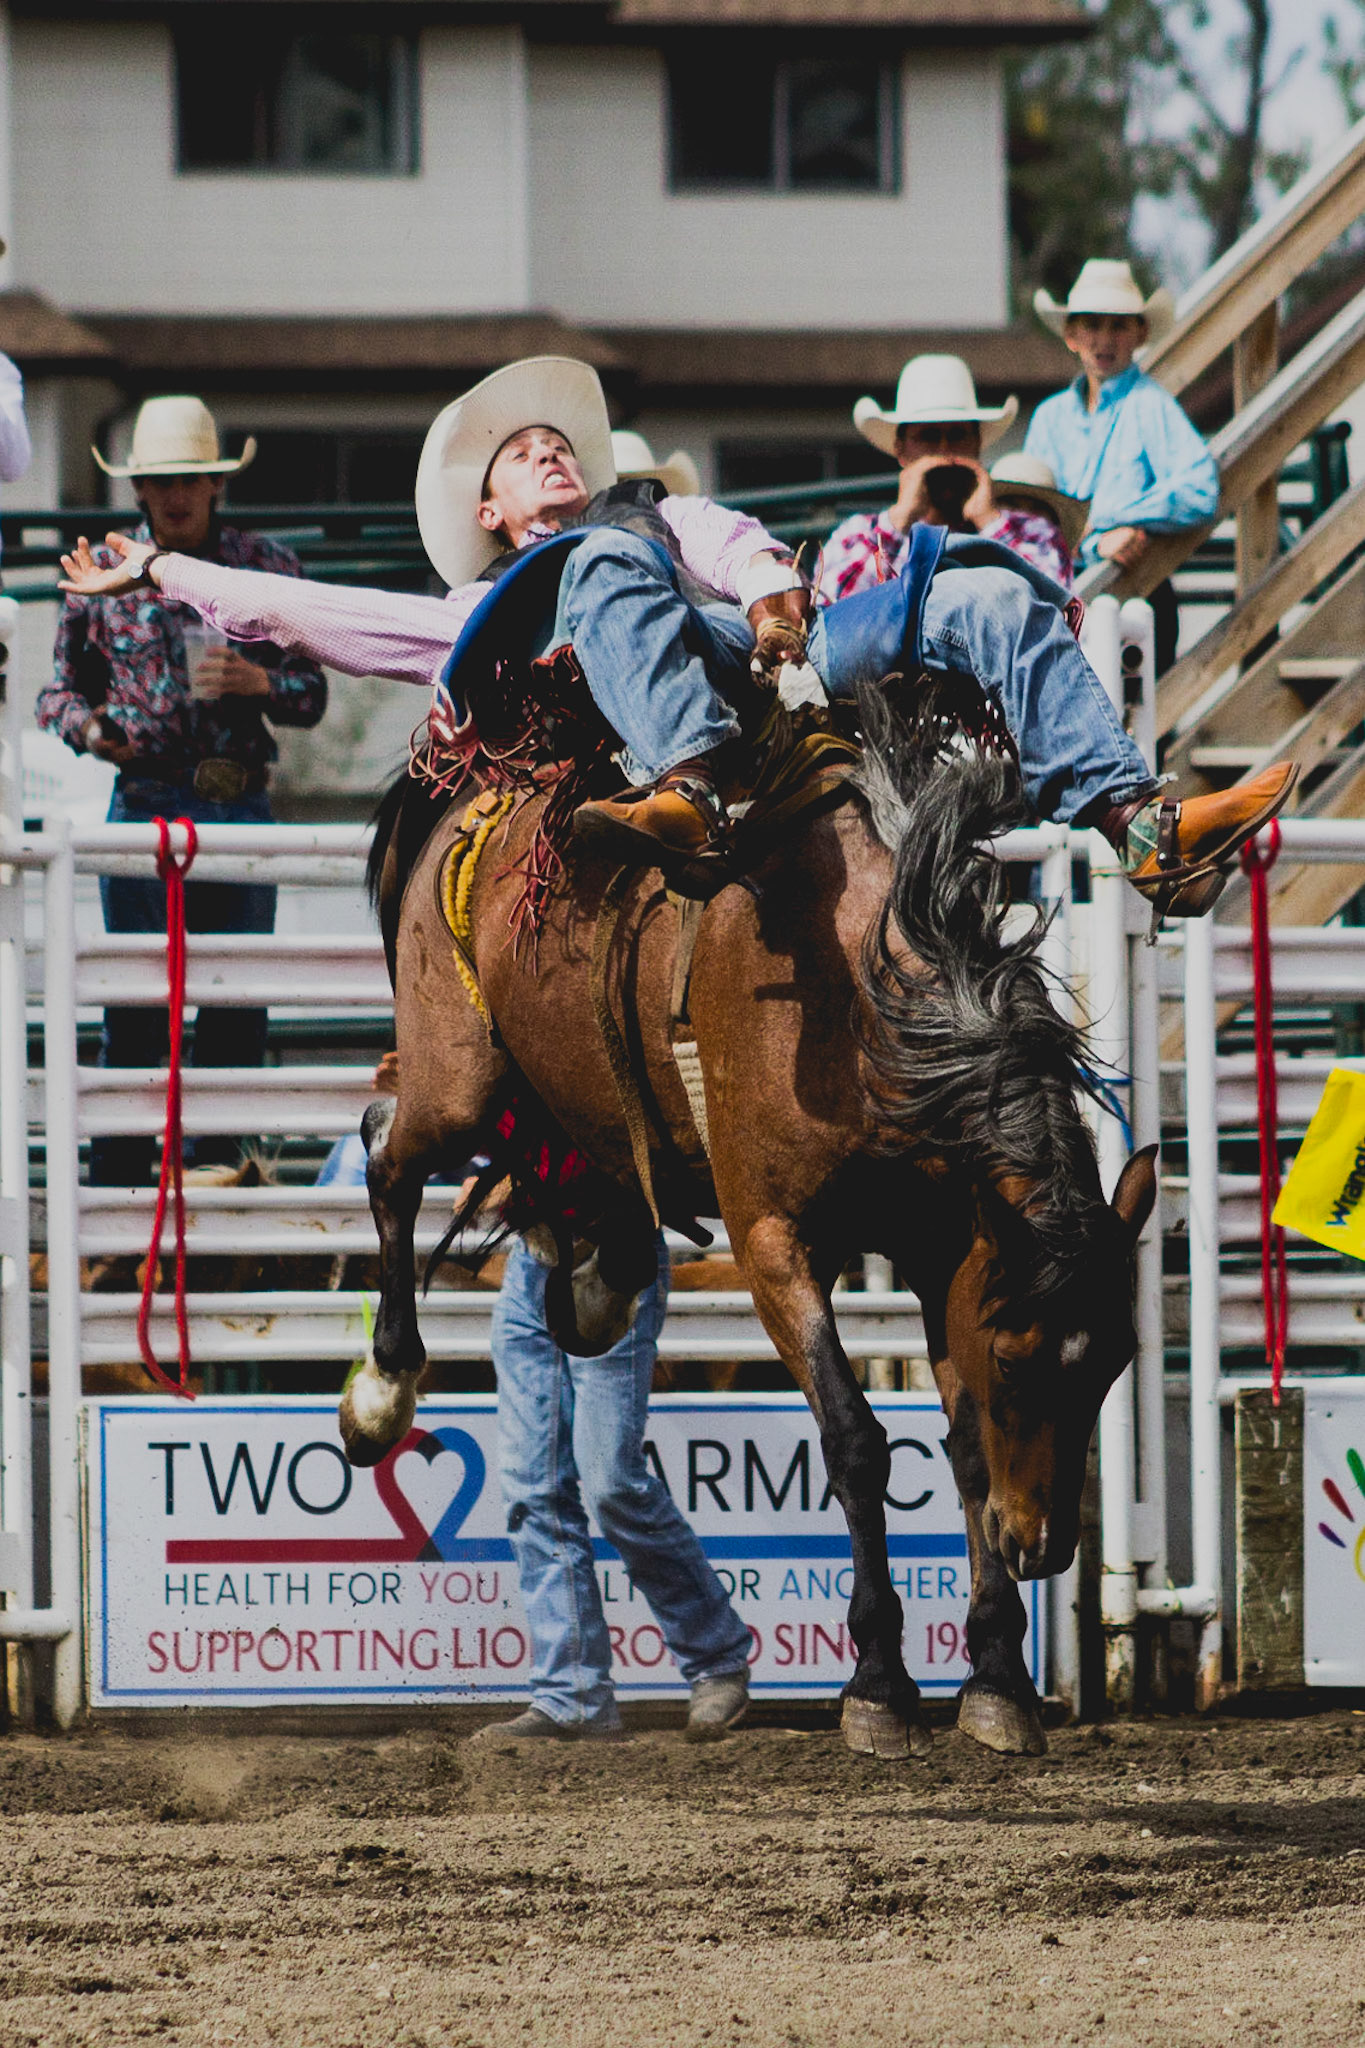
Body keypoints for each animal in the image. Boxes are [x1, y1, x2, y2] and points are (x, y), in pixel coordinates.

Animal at [340, 683, 1156, 1761]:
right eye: (1019, 1361)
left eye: (1110, 1363)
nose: (1044, 1546)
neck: (864, 994)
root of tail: (482, 782)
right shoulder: (774, 1242)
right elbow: (856, 1440)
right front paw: (879, 1683)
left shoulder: (947, 1253)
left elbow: (967, 1449)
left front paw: (995, 1678)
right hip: (456, 1078)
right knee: (387, 1152)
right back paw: (381, 1391)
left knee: (577, 1190)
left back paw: (590, 1287)